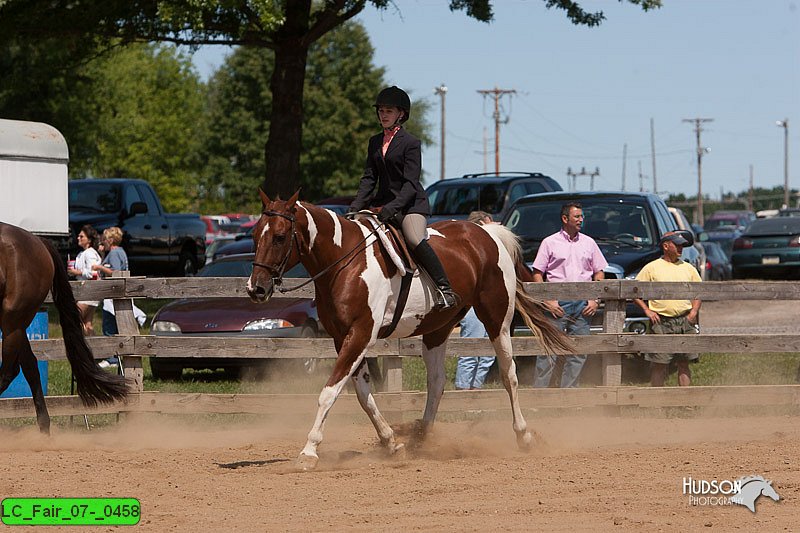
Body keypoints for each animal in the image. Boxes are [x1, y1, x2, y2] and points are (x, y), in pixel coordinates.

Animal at [0, 221, 128, 432]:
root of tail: (38, 241)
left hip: (12, 320)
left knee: (11, 371)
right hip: (16, 324)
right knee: (30, 366)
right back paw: (44, 428)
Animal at [247, 189, 572, 468]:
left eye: (279, 237)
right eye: (253, 234)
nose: (256, 289)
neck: (345, 262)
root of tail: (487, 233)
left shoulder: (360, 335)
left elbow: (329, 392)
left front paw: (309, 451)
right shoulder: (344, 339)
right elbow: (363, 394)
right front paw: (392, 443)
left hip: (497, 321)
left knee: (509, 375)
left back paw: (524, 436)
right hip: (438, 328)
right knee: (437, 381)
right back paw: (421, 437)